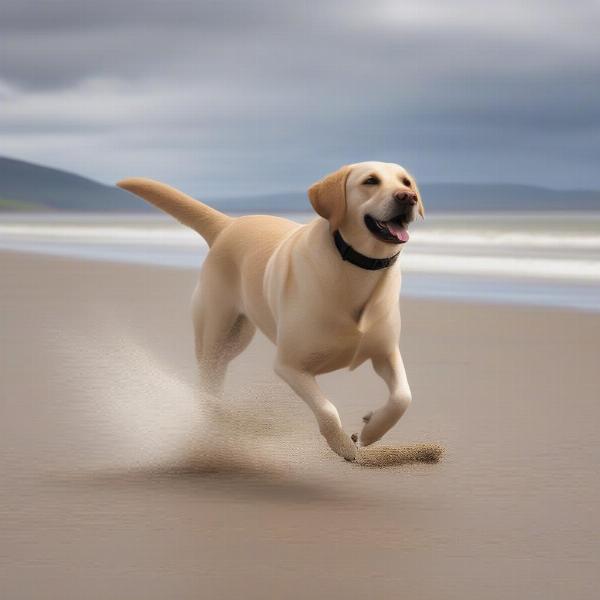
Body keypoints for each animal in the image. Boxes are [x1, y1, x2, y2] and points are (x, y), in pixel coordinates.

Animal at [119, 162, 424, 462]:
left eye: (406, 182)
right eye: (370, 181)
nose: (408, 197)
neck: (357, 264)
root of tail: (229, 223)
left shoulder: (385, 352)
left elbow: (403, 397)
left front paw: (371, 430)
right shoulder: (290, 365)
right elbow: (327, 409)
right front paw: (342, 445)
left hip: (236, 337)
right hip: (214, 333)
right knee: (206, 376)